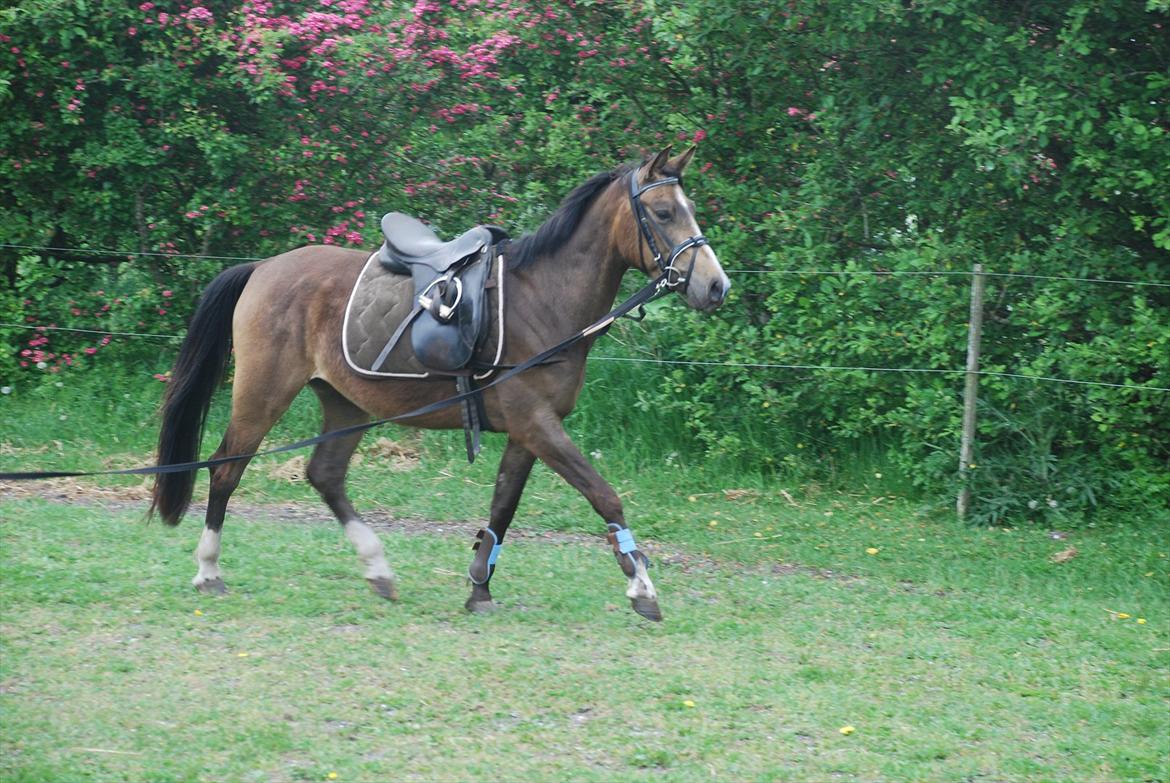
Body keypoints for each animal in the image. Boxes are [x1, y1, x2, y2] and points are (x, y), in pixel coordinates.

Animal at [150, 146, 725, 617]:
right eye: (663, 213)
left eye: (690, 208)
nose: (716, 286)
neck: (542, 298)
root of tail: (263, 267)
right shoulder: (536, 424)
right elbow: (604, 496)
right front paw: (641, 585)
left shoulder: (528, 431)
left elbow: (503, 506)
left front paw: (480, 586)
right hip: (263, 392)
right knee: (226, 469)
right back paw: (209, 570)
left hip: (345, 401)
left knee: (325, 475)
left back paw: (378, 568)